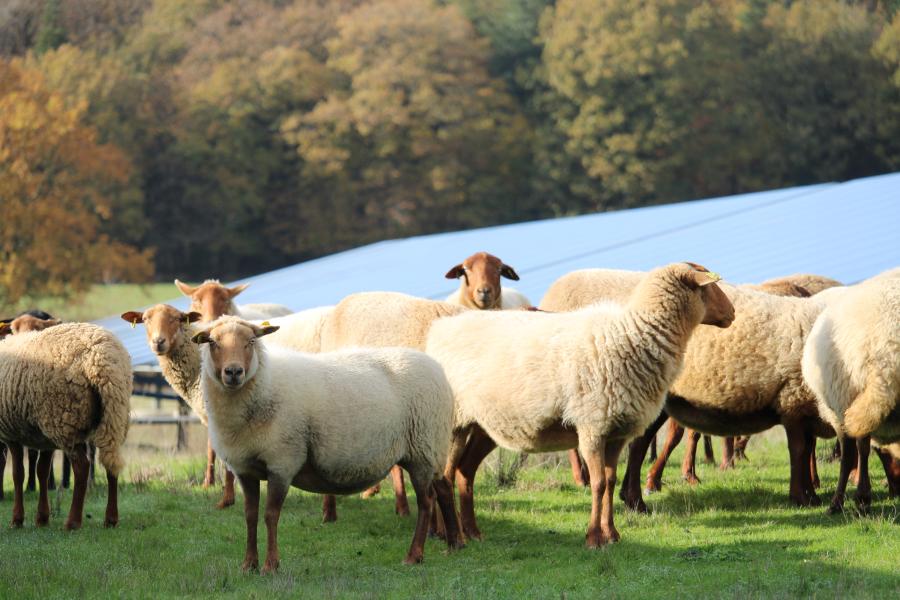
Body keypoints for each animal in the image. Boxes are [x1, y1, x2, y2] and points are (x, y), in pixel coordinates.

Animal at [0, 324, 132, 528]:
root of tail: (101, 359)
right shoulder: (44, 439)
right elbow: (42, 472)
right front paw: (42, 518)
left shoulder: (11, 434)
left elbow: (18, 474)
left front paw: (17, 519)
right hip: (114, 417)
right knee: (111, 463)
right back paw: (110, 519)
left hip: (62, 419)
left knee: (82, 467)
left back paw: (73, 522)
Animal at [187, 314, 460, 572]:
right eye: (213, 342)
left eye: (251, 341)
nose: (233, 372)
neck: (264, 385)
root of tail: (437, 368)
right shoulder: (245, 469)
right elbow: (250, 516)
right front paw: (248, 565)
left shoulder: (283, 461)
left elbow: (270, 515)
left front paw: (270, 565)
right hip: (432, 450)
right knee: (444, 488)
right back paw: (454, 544)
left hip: (424, 448)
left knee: (426, 502)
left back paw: (415, 555)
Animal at [428, 264, 732, 548]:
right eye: (709, 287)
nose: (732, 313)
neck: (633, 335)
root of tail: (441, 331)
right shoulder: (592, 426)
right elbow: (598, 484)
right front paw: (594, 537)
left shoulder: (616, 432)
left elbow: (610, 481)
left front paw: (612, 534)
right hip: (454, 422)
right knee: (444, 477)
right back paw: (449, 535)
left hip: (485, 425)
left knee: (464, 472)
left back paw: (472, 531)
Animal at [536, 270, 840, 512]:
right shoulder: (793, 399)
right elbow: (799, 449)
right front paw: (801, 497)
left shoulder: (802, 406)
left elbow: (807, 448)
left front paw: (811, 494)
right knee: (638, 444)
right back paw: (623, 492)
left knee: (639, 444)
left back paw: (633, 498)